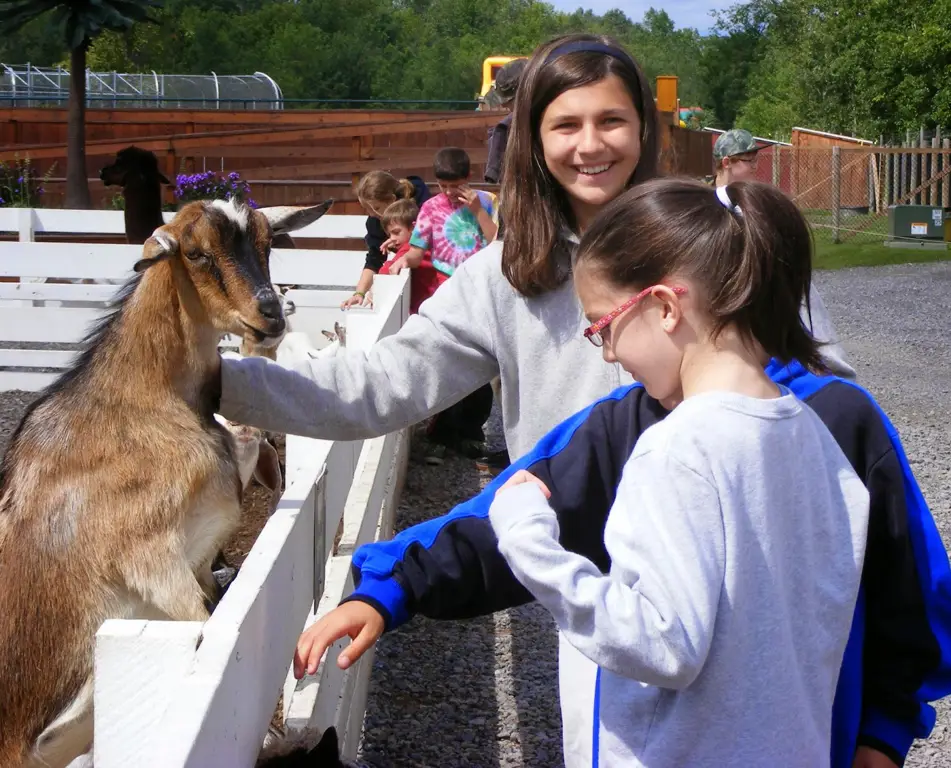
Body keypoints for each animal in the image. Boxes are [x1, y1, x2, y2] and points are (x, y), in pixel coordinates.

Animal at [0, 195, 334, 764]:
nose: (270, 313)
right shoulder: (148, 557)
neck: (143, 400)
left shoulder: (201, 558)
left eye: (268, 243)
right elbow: (202, 624)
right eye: (196, 253)